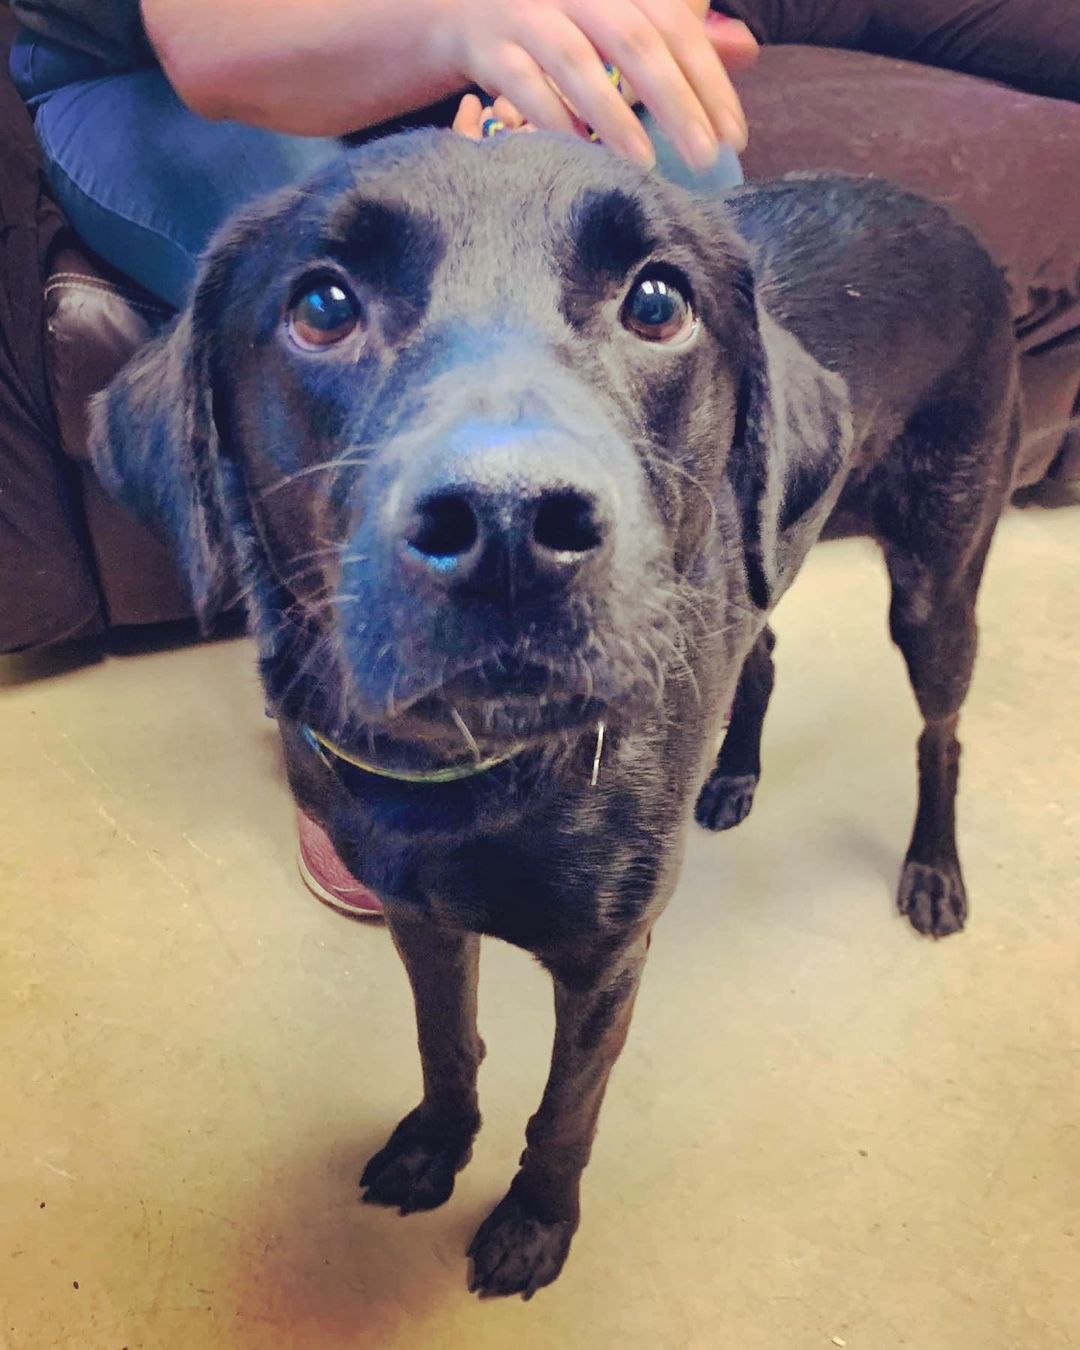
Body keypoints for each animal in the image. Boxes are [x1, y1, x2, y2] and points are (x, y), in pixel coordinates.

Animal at [90, 134, 1020, 1296]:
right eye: (322, 305)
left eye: (658, 302)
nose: (508, 526)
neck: (472, 776)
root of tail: (955, 224)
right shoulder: (418, 914)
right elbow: (445, 1042)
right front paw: (437, 1144)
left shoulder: (607, 960)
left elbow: (567, 1108)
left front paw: (535, 1223)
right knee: (759, 652)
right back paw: (732, 775)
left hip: (936, 583)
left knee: (942, 733)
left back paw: (933, 868)